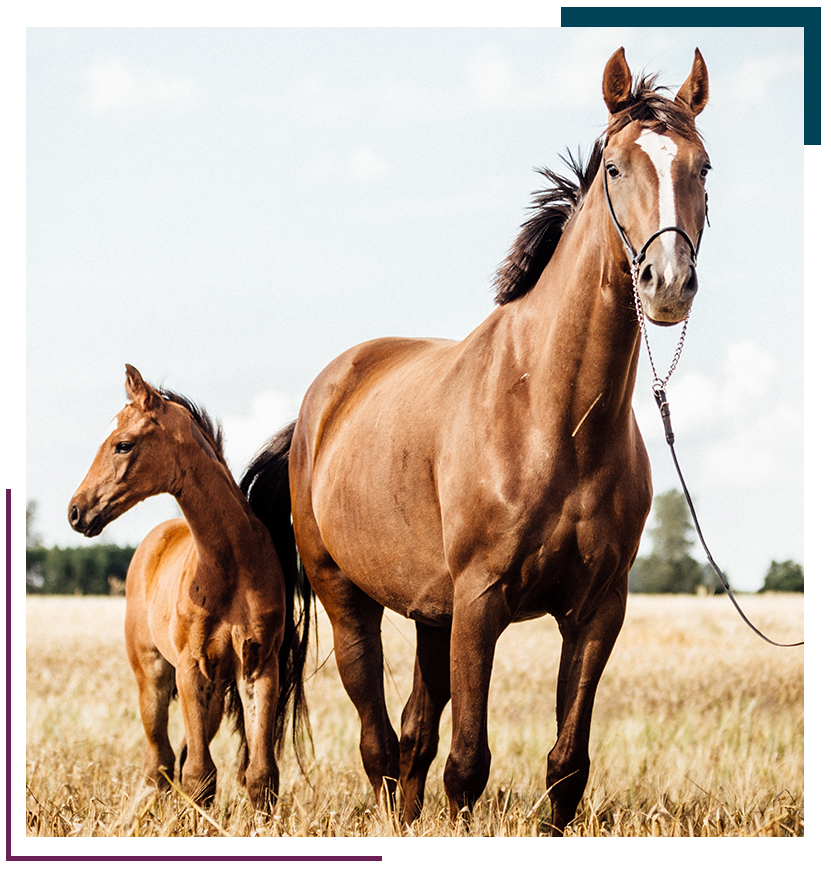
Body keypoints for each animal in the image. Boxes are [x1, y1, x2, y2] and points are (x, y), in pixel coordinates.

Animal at [68, 365, 311, 811]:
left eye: (123, 445)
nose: (76, 512)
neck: (229, 567)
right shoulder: (191, 669)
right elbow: (199, 776)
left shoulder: (258, 668)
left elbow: (260, 775)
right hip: (153, 676)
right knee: (160, 761)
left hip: (212, 693)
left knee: (177, 756)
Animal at [243, 47, 710, 836]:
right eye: (616, 168)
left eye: (702, 167)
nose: (667, 282)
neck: (553, 417)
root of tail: (315, 409)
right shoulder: (482, 599)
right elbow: (467, 764)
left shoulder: (597, 610)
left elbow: (564, 766)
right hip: (350, 599)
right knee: (378, 739)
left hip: (433, 613)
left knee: (410, 734)